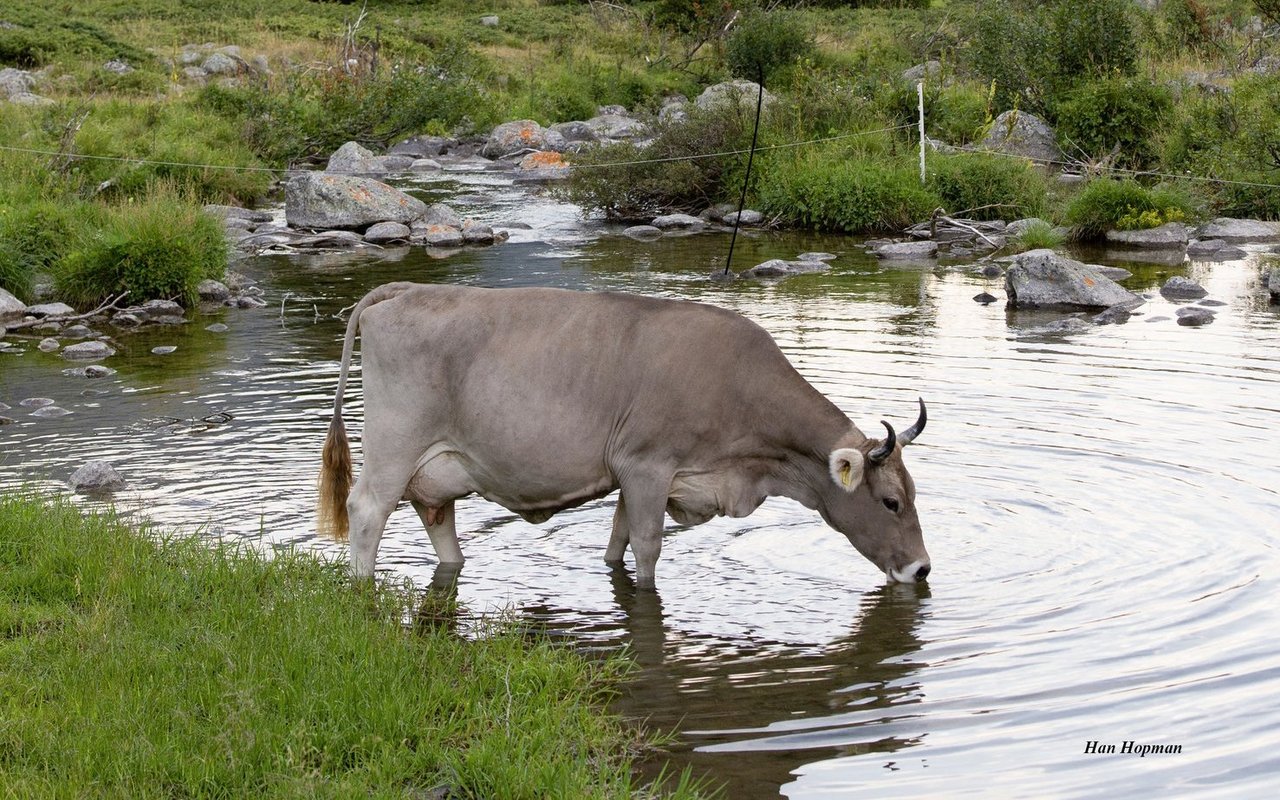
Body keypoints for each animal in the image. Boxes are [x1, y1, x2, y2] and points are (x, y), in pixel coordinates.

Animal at [314, 279, 926, 586]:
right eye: (891, 502)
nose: (922, 569)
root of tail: (403, 289)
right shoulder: (648, 465)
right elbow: (649, 547)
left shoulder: (633, 474)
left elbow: (618, 540)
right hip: (393, 447)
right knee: (367, 511)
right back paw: (362, 591)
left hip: (438, 465)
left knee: (436, 517)